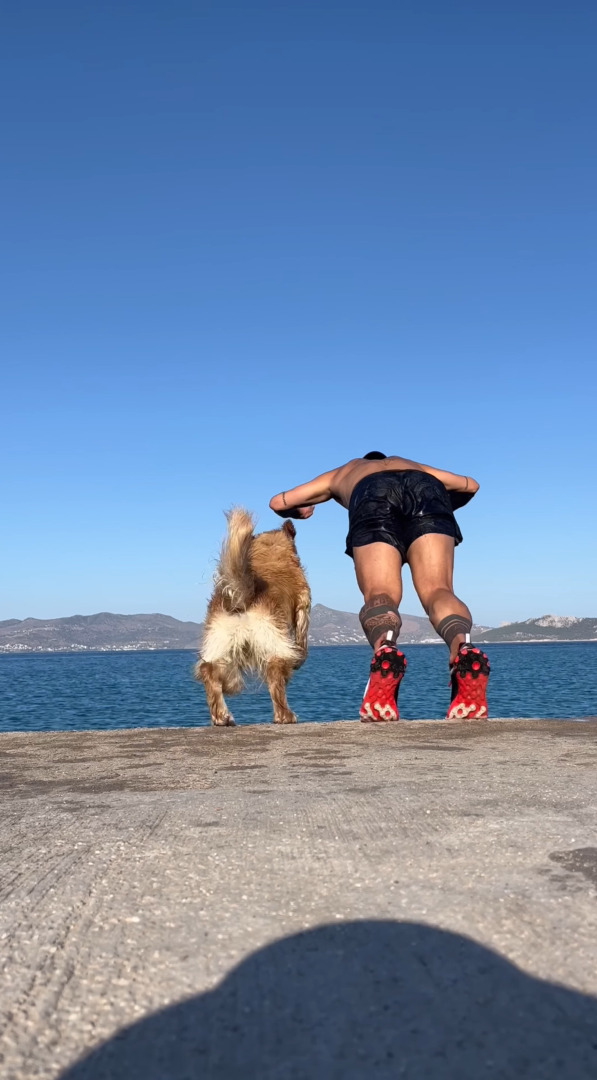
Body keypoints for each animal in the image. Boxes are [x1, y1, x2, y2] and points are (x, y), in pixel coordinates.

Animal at [195, 507, 308, 725]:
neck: (269, 549)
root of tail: (242, 597)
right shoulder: (303, 602)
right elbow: (302, 636)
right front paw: (301, 658)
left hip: (220, 642)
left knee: (209, 671)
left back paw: (221, 716)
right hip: (273, 641)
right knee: (275, 675)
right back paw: (285, 715)